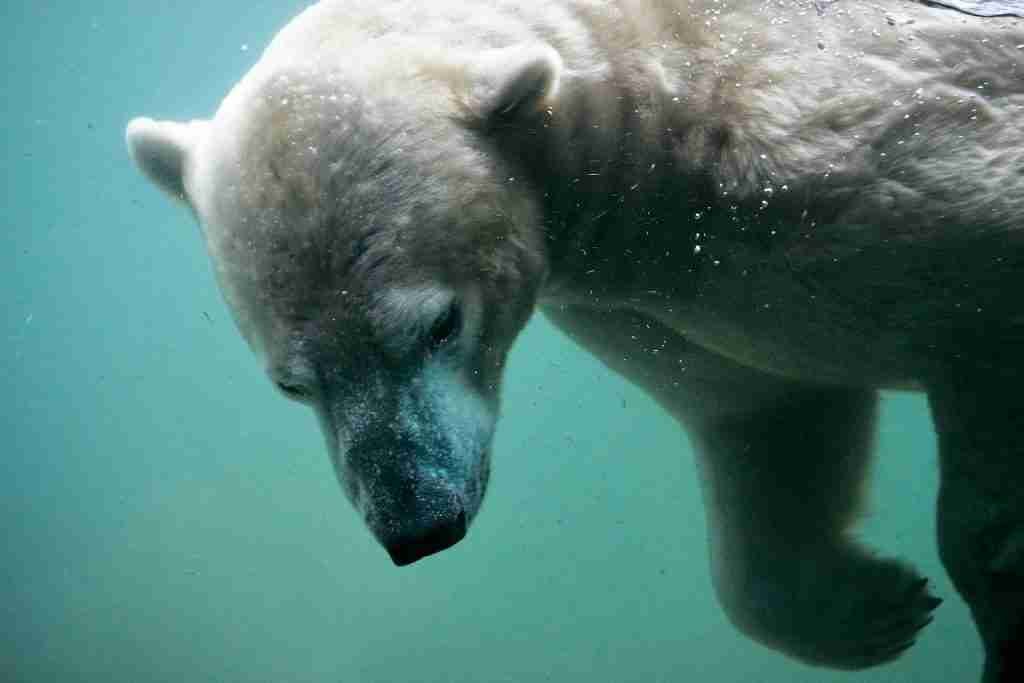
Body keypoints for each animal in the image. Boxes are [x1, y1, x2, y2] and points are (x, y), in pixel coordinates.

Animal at [125, 2, 1024, 679]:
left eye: (440, 323)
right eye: (292, 382)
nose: (418, 523)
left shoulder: (852, 151)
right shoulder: (658, 298)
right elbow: (764, 407)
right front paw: (870, 604)